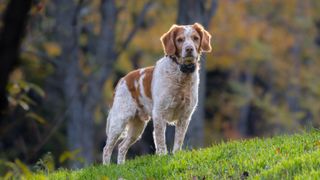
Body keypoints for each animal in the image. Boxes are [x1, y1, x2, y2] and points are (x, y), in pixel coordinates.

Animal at [103, 22, 212, 165]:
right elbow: (161, 142)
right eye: (180, 40)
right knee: (107, 148)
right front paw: (162, 158)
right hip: (119, 121)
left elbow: (178, 141)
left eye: (195, 38)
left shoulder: (185, 116)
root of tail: (122, 80)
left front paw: (176, 155)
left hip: (137, 127)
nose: (189, 49)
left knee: (121, 146)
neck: (181, 75)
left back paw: (121, 166)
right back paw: (107, 167)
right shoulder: (159, 113)